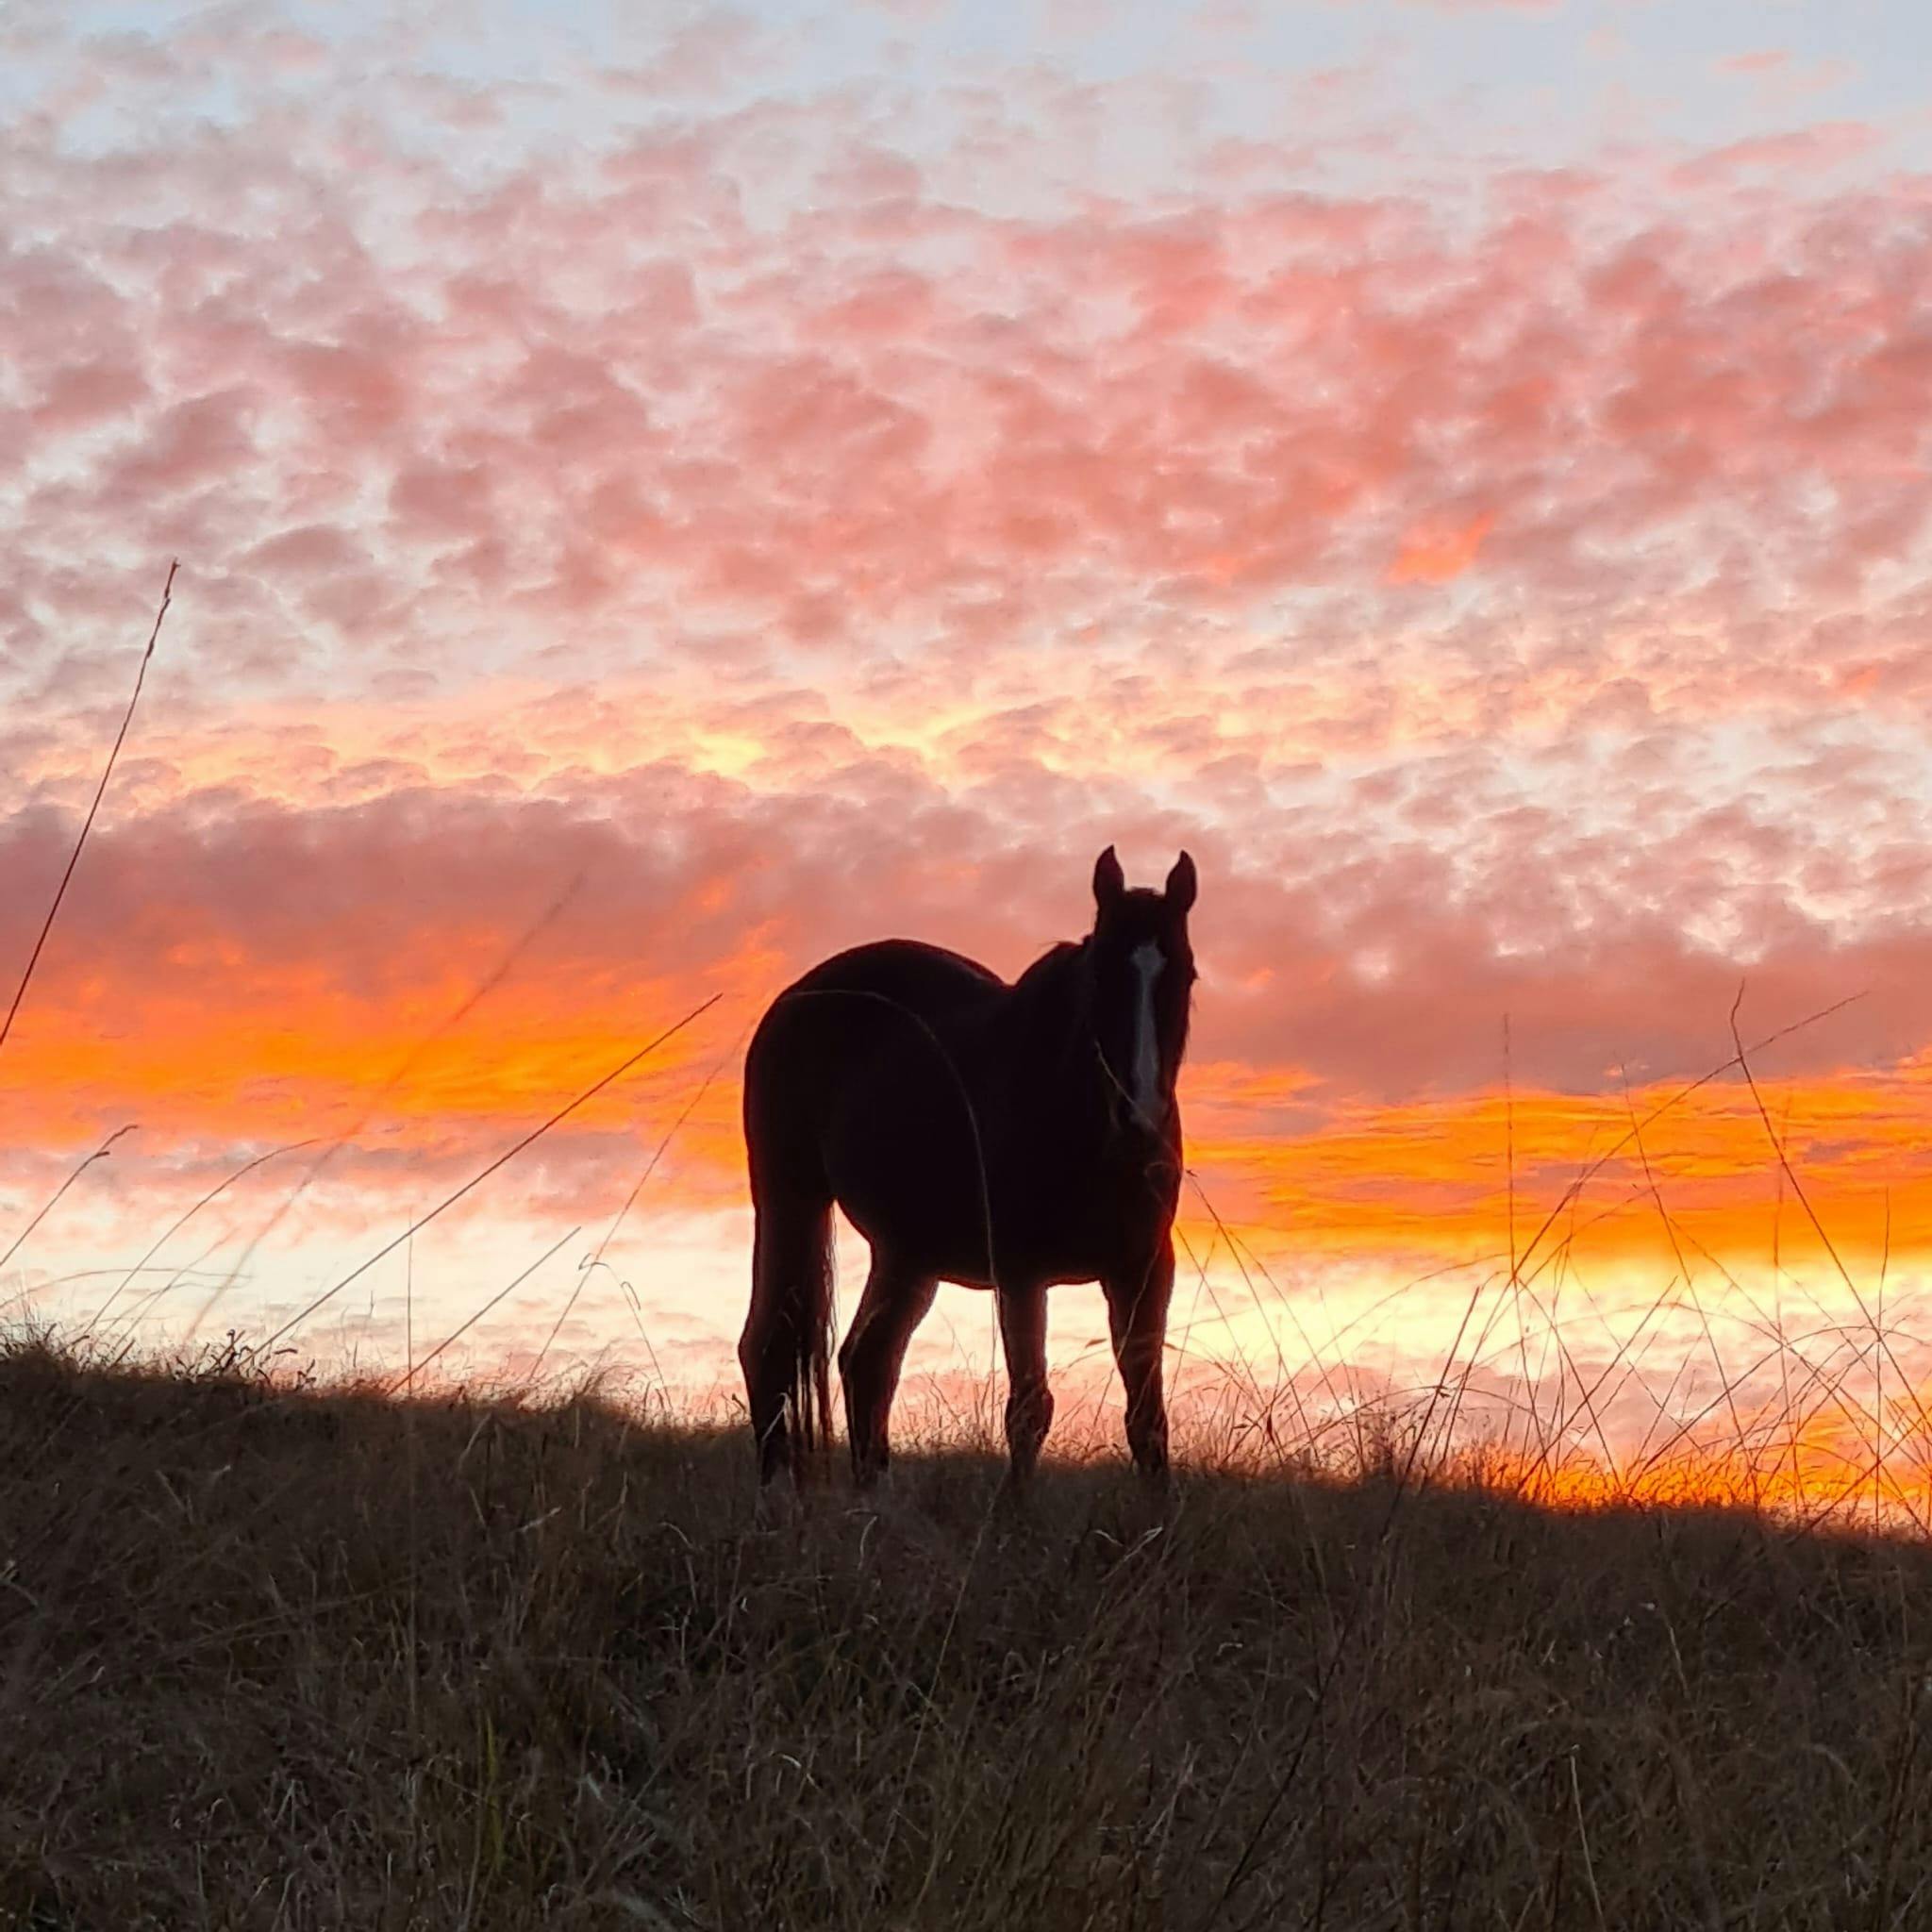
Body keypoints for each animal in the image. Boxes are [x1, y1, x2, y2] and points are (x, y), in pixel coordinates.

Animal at [738, 846, 1198, 1488]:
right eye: (1101, 977)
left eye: (1185, 976)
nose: (1140, 1120)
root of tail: (797, 998)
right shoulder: (1023, 1273)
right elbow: (1030, 1409)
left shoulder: (1142, 1271)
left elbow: (1147, 1419)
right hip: (789, 1201)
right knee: (769, 1348)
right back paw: (777, 1497)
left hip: (906, 1253)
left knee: (867, 1361)